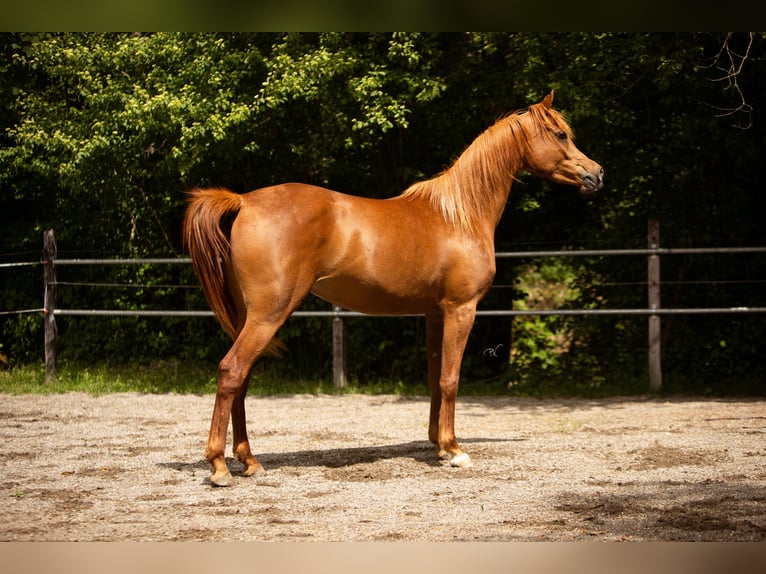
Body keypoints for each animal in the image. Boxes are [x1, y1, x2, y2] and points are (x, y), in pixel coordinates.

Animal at [182, 91, 603, 486]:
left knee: (242, 379)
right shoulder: (461, 309)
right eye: (561, 134)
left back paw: (249, 461)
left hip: (250, 318)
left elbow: (435, 379)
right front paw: (455, 450)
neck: (460, 215)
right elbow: (451, 379)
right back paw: (219, 466)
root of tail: (244, 201)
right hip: (269, 315)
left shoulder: (435, 314)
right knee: (231, 371)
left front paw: (438, 444)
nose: (597, 174)